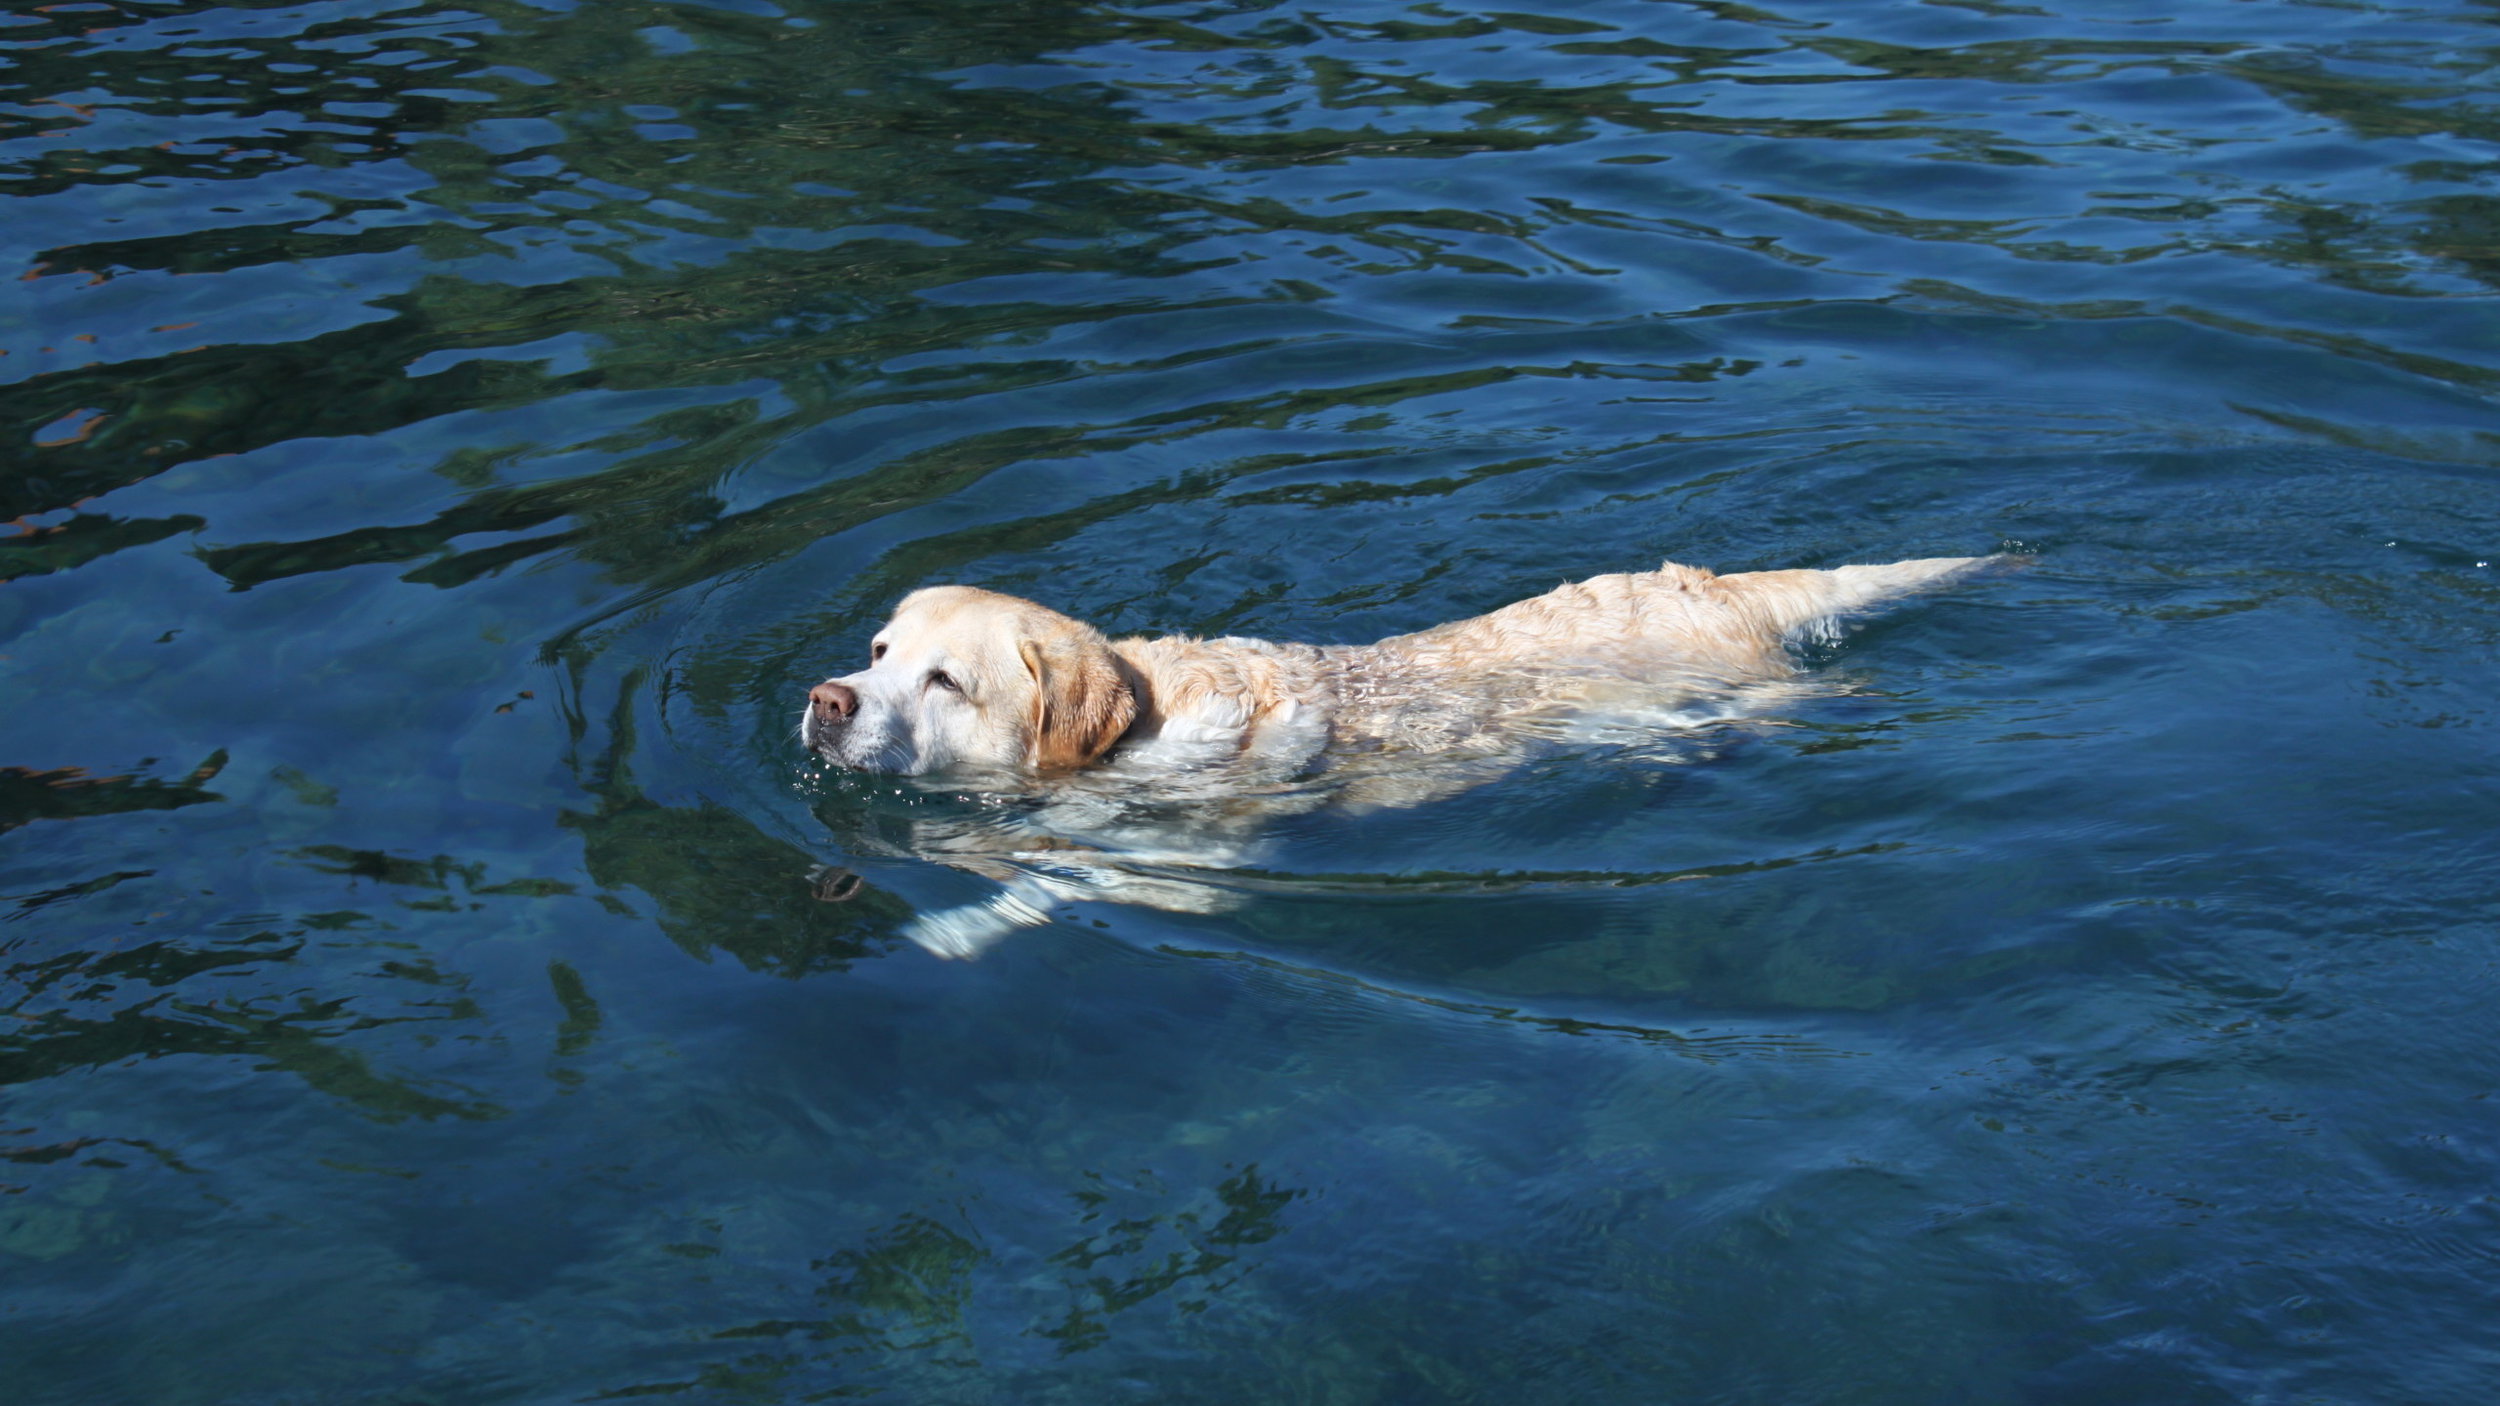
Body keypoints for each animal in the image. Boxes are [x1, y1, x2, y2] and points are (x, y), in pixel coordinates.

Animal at [810, 550, 2000, 950]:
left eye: (944, 681)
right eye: (877, 651)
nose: (826, 700)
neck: (1136, 731)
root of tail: (1709, 584)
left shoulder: (1197, 868)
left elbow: (1056, 886)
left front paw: (948, 929)